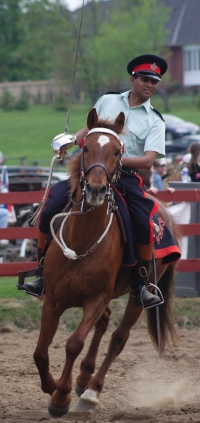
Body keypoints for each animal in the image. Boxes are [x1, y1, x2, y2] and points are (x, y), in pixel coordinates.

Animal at [33, 108, 181, 418]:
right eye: (86, 147)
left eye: (116, 151)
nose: (96, 190)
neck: (81, 239)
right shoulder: (52, 299)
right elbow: (40, 351)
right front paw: (52, 387)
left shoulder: (96, 298)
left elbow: (74, 343)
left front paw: (60, 398)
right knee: (104, 323)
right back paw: (83, 379)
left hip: (138, 297)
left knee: (118, 338)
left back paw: (90, 392)